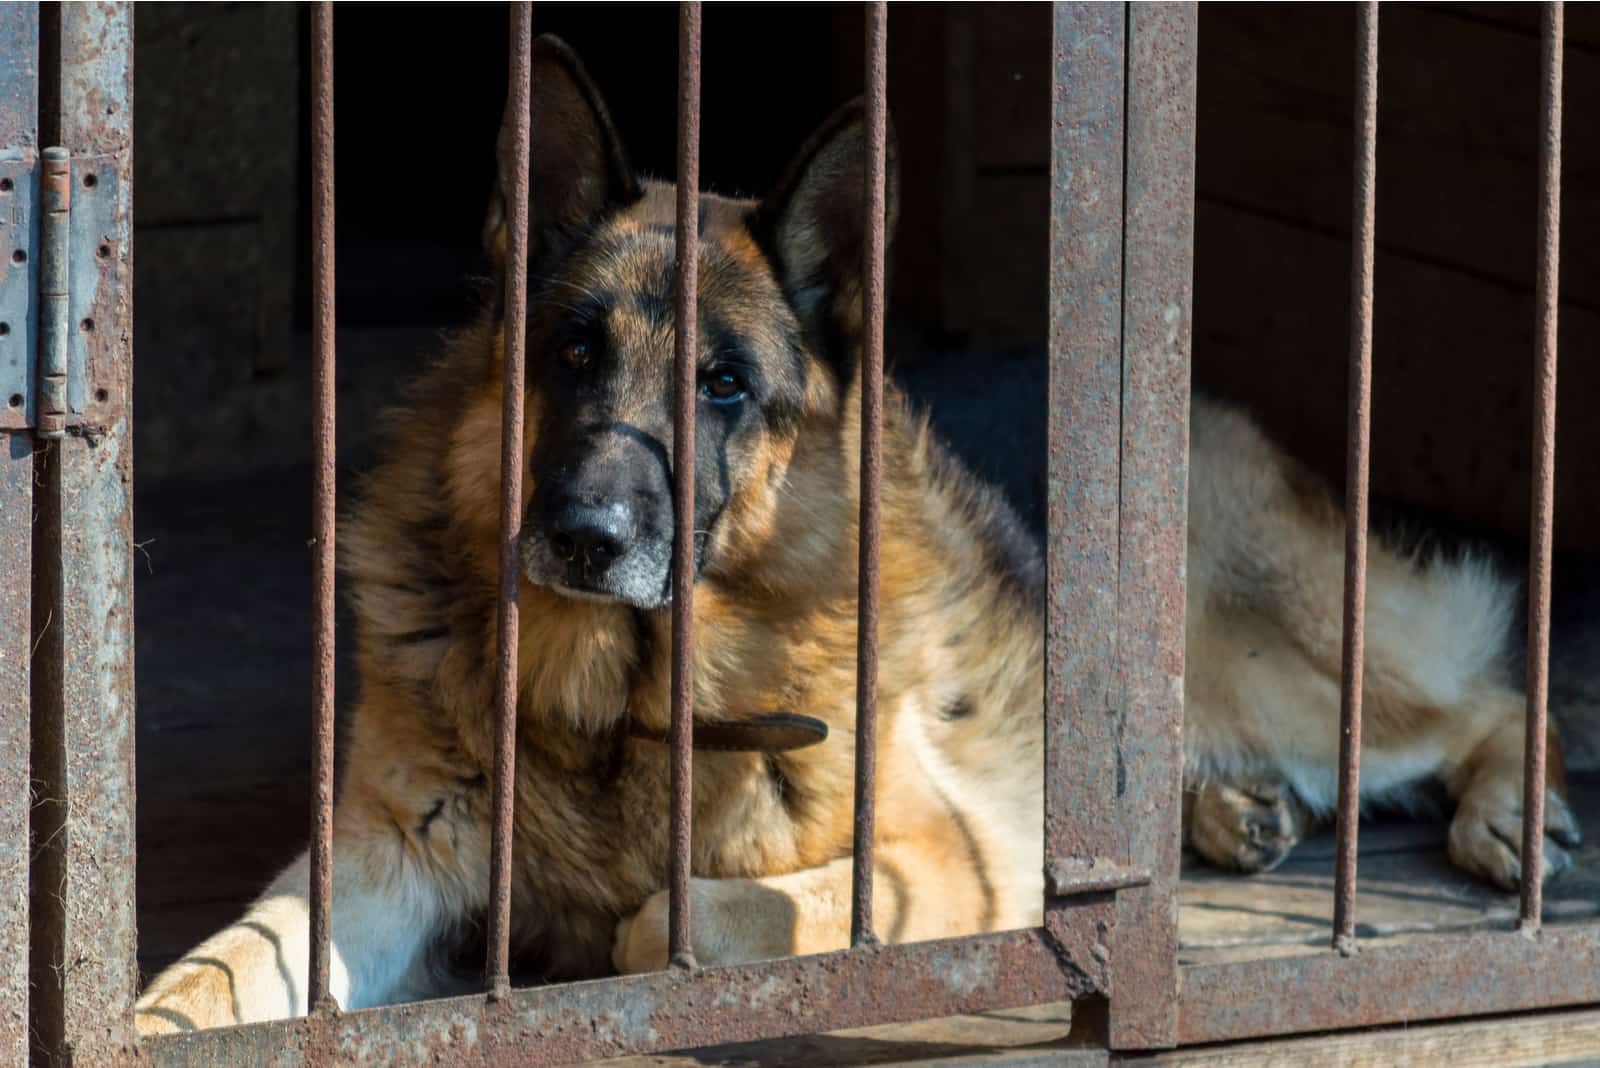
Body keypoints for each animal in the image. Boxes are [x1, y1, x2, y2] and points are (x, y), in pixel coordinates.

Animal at [134, 37, 1574, 1029]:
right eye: (573, 351)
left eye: (722, 386)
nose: (583, 535)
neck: (614, 716)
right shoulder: (371, 868)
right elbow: (223, 969)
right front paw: (144, 1013)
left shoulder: (943, 869)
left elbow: (665, 921)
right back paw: (1231, 812)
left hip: (1266, 668)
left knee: (1482, 692)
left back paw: (1511, 818)